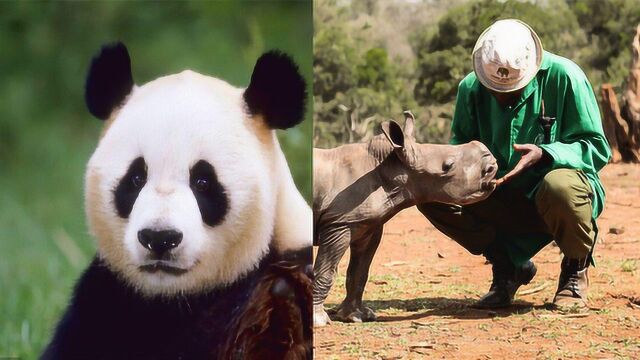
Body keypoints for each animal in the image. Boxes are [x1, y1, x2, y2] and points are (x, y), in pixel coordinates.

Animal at [312, 112, 498, 326]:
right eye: (448, 166)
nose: (492, 164)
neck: (393, 169)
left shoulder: (366, 224)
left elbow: (359, 271)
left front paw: (357, 316)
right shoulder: (338, 223)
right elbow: (326, 271)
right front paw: (318, 320)